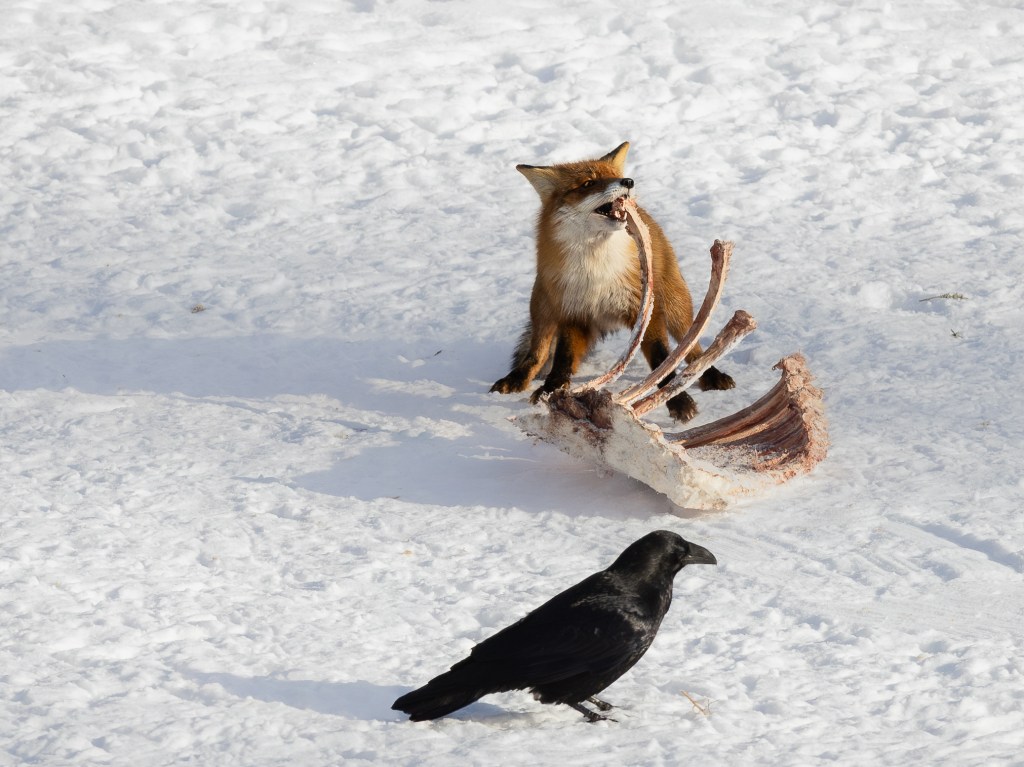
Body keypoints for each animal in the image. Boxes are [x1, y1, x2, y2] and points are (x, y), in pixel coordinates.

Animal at [490, 141, 734, 421]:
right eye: (588, 183)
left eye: (614, 176)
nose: (628, 181)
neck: (595, 271)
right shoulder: (574, 312)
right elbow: (563, 358)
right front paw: (551, 390)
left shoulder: (645, 310)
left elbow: (662, 361)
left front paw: (678, 400)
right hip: (543, 306)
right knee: (536, 354)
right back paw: (519, 378)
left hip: (676, 306)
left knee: (692, 348)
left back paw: (710, 374)